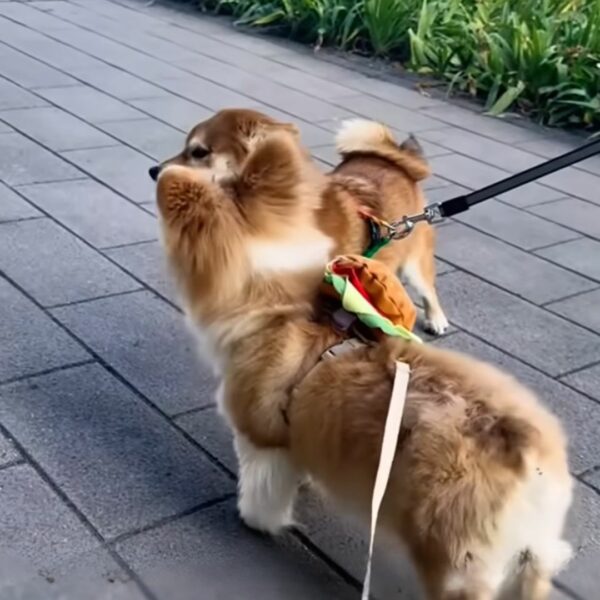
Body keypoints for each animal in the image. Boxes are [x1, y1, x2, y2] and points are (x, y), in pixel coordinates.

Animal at [149, 109, 448, 336]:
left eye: (199, 152)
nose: (154, 170)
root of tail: (398, 161)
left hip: (415, 262)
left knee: (428, 288)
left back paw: (437, 319)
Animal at [154, 129, 572, 596]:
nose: (156, 170)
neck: (280, 301)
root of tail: (525, 453)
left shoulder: (262, 439)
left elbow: (263, 489)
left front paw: (256, 520)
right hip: (533, 556)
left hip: (453, 564)